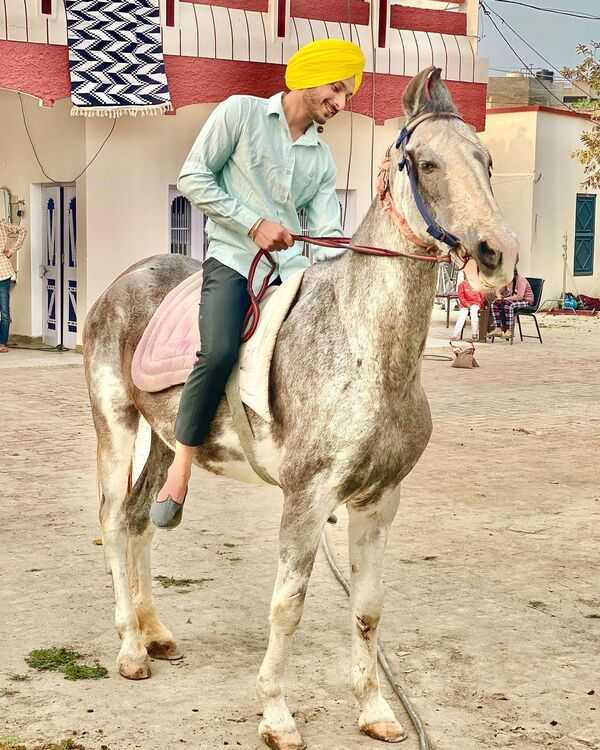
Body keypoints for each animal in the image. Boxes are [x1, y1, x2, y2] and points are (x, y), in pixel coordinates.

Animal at [83, 67, 519, 750]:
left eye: (487, 160)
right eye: (425, 163)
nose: (496, 252)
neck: (366, 347)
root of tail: (122, 281)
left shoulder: (379, 500)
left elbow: (368, 609)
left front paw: (375, 711)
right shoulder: (307, 498)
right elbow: (288, 606)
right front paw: (276, 714)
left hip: (165, 440)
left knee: (137, 520)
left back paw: (154, 634)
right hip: (117, 424)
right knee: (110, 519)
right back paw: (129, 648)